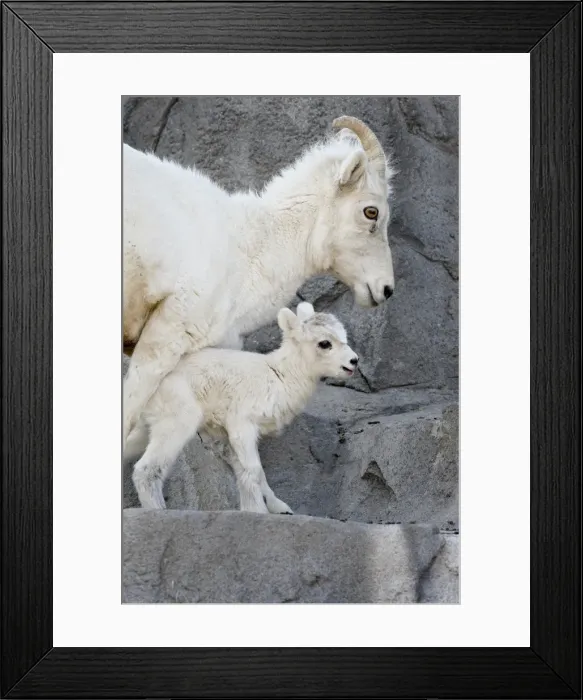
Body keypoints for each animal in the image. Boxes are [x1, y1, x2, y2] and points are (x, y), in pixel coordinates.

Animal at [125, 303, 358, 514]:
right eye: (325, 343)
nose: (353, 361)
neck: (278, 376)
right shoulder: (241, 425)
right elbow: (252, 471)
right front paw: (257, 511)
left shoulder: (227, 435)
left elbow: (251, 472)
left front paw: (278, 508)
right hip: (177, 421)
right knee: (146, 469)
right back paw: (157, 511)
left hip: (145, 427)